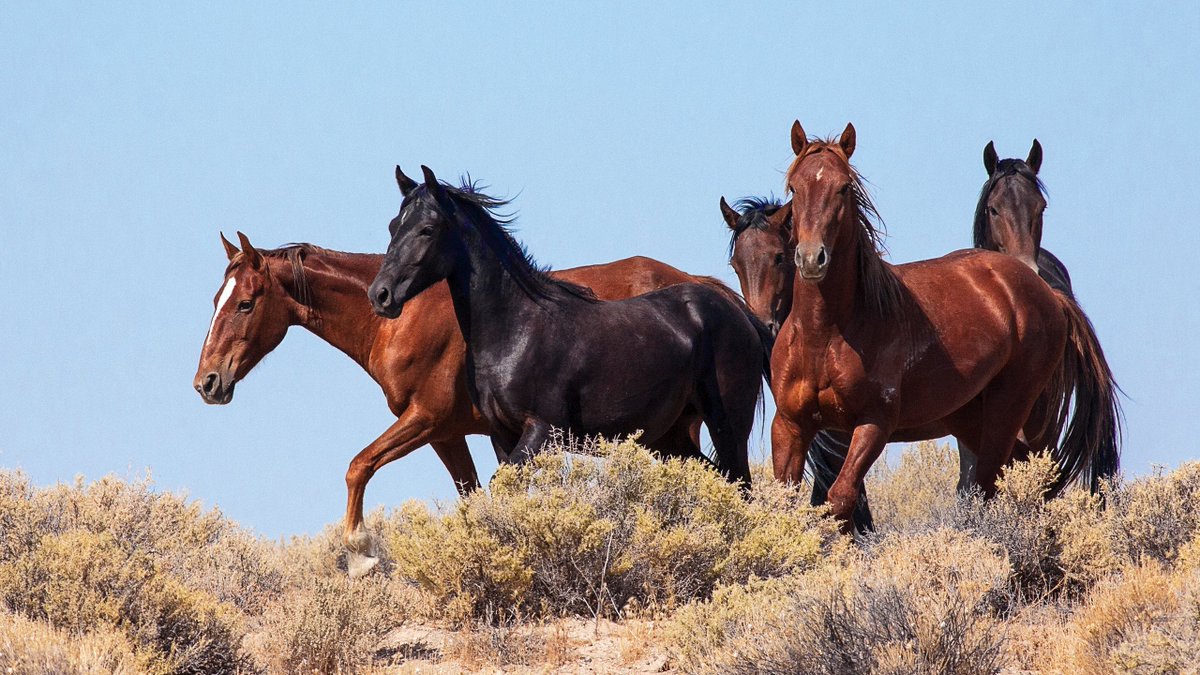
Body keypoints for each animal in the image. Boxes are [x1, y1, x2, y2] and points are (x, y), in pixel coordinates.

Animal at [193, 227, 724, 571]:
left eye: (246, 303)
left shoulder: (425, 418)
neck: (403, 317)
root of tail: (713, 291)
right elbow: (469, 496)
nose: (207, 382)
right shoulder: (446, 435)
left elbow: (359, 465)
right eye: (216, 299)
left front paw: (360, 551)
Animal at [763, 121, 1118, 530]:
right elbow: (785, 506)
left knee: (1007, 484)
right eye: (794, 188)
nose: (811, 258)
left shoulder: (873, 424)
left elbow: (840, 499)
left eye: (844, 187)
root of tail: (1044, 290)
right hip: (970, 419)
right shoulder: (790, 425)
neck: (825, 334)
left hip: (1016, 410)